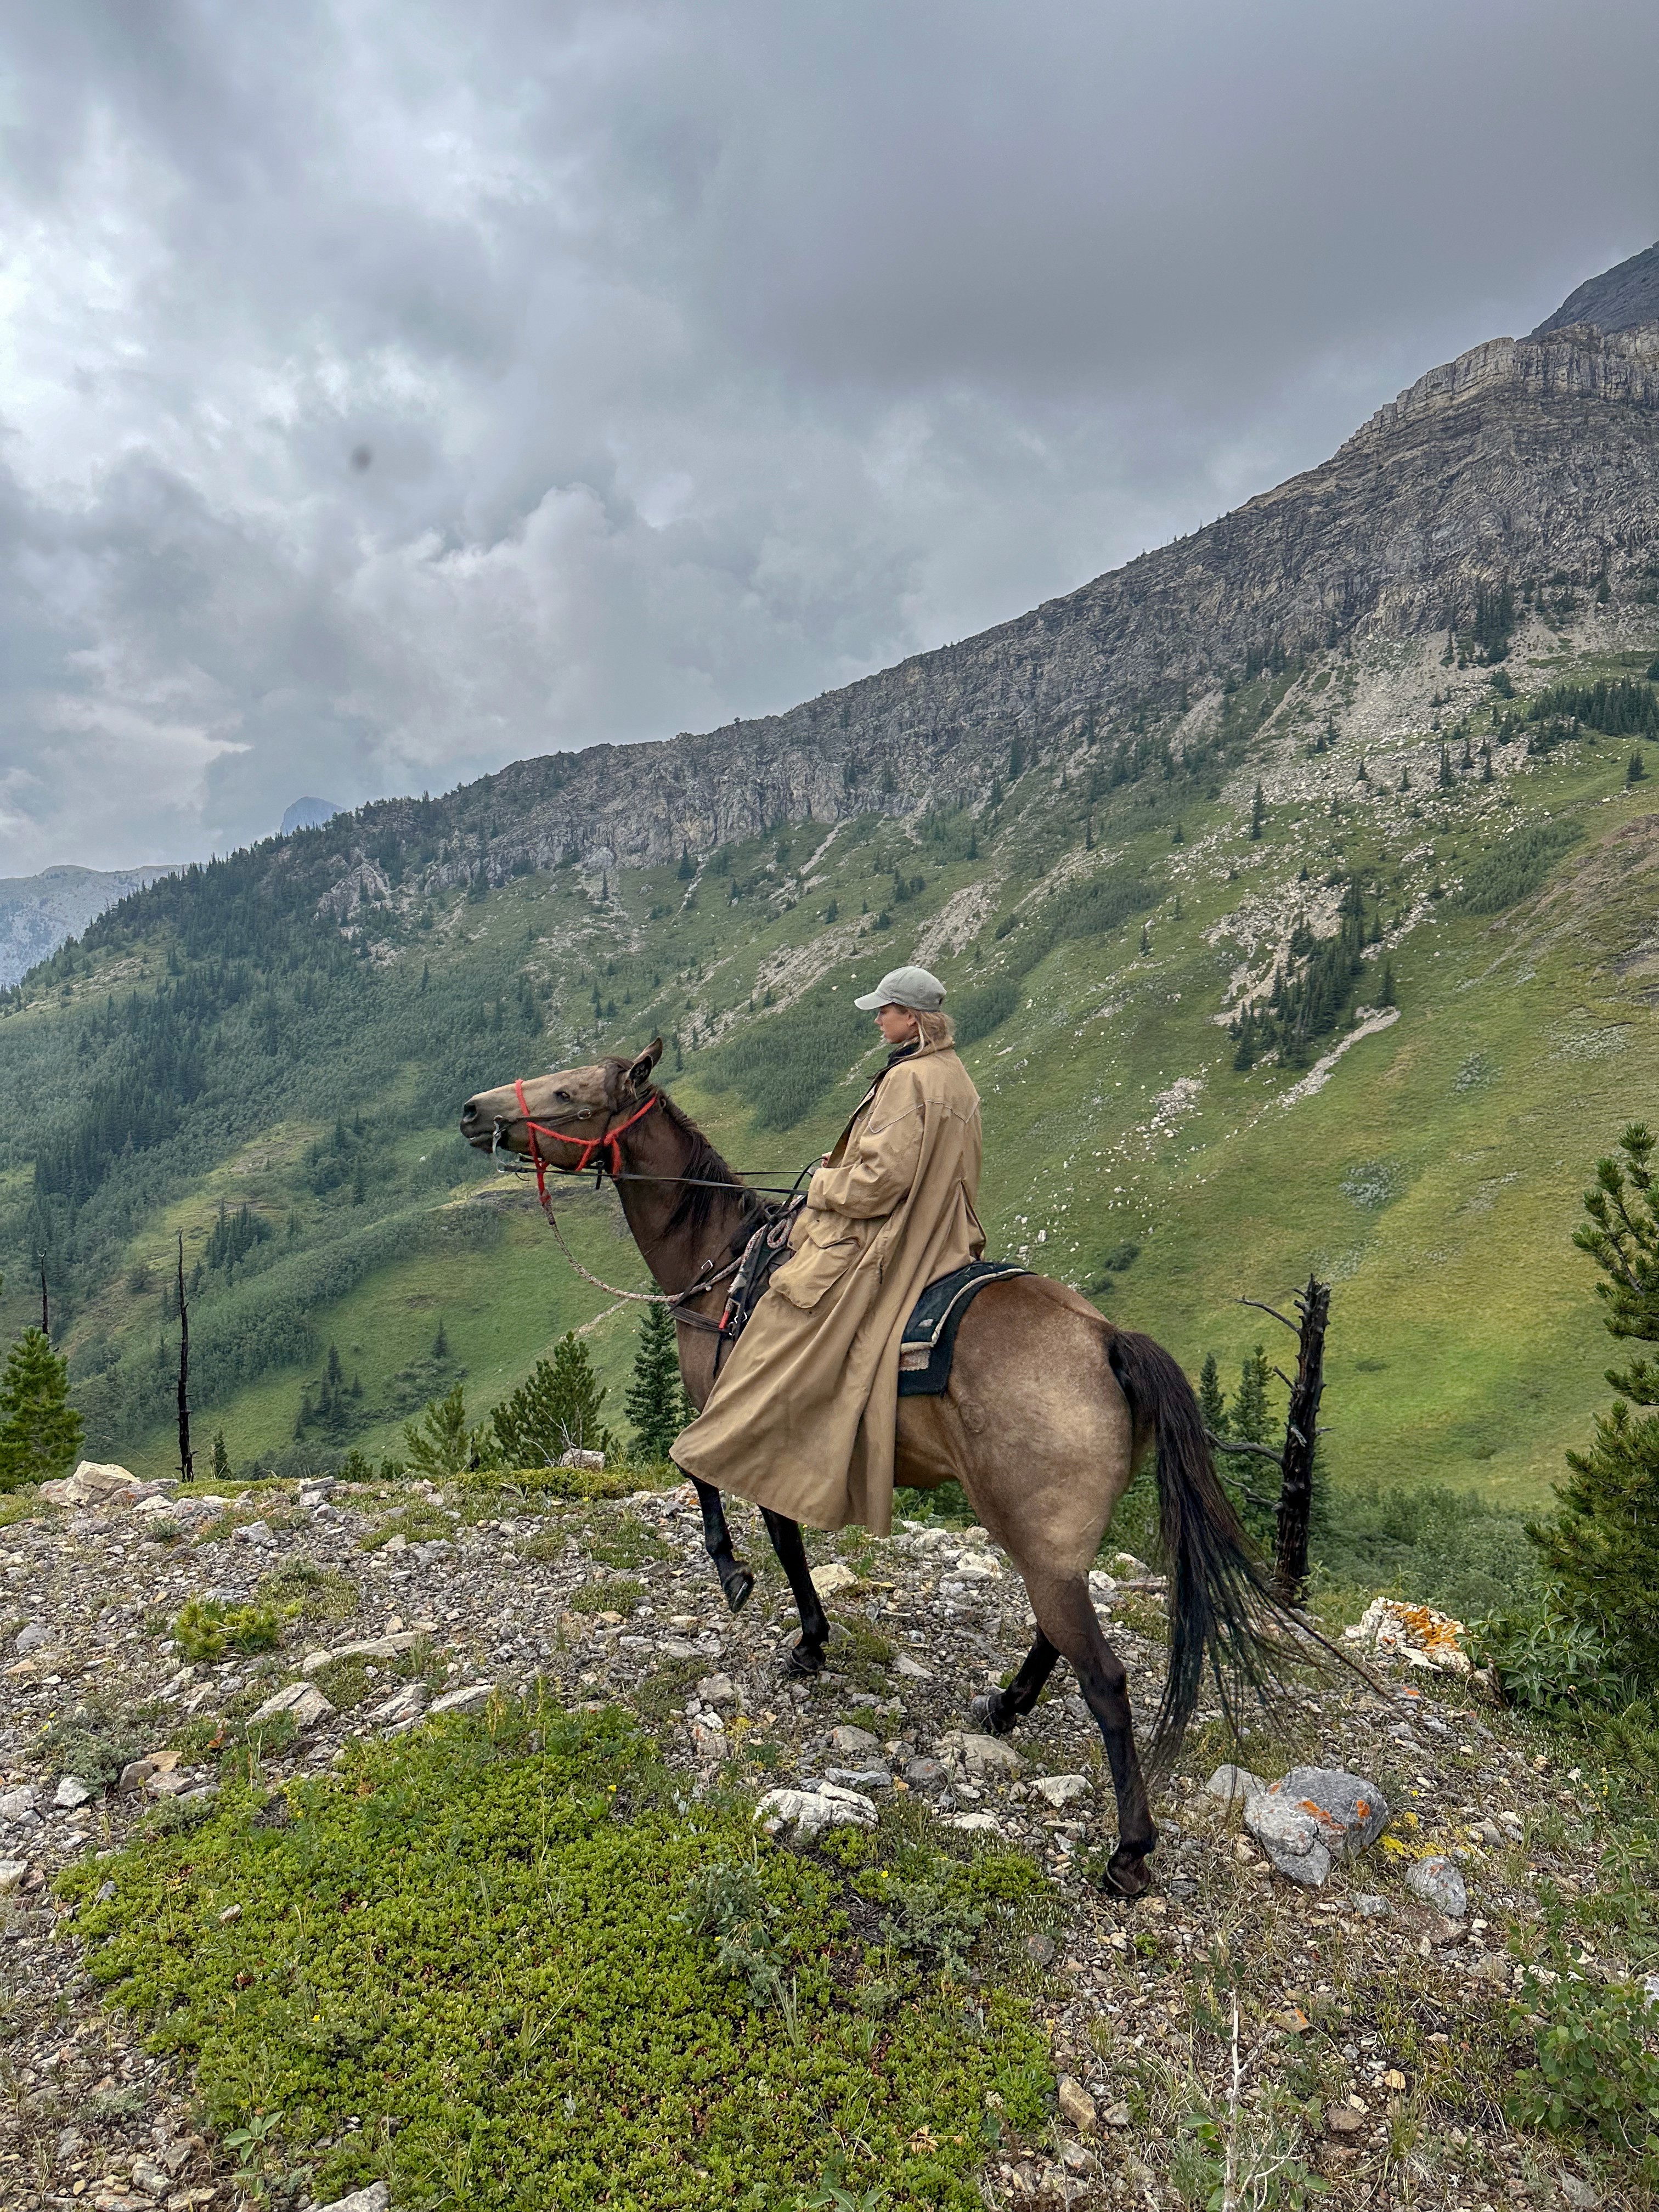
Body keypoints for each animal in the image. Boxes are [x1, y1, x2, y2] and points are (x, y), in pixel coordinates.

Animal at [460, 1038, 1306, 1897]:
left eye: (568, 1094)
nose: (470, 1112)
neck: (722, 1265)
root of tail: (1105, 1341)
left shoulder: (745, 1421)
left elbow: (736, 1504)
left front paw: (763, 1602)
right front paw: (802, 1629)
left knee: (1104, 1678)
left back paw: (1129, 1850)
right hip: (1054, 1542)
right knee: (1054, 1631)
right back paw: (1006, 1708)